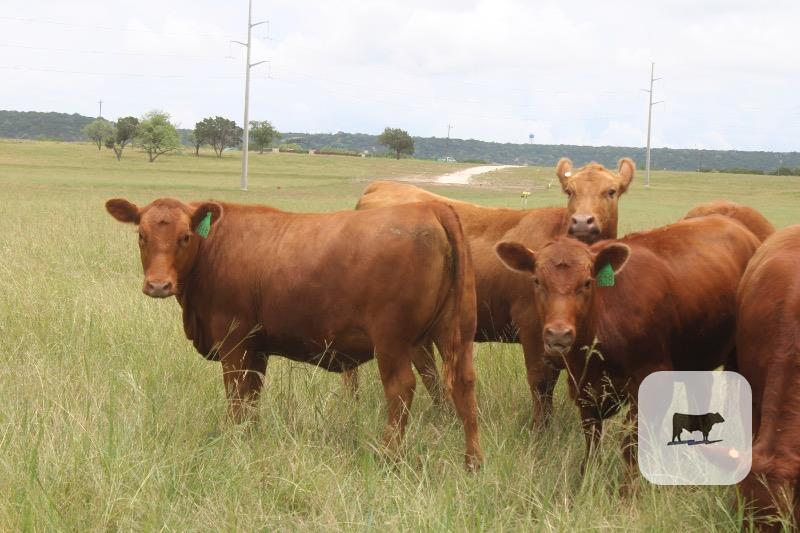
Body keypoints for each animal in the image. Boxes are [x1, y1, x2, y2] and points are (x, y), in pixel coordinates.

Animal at [105, 197, 482, 470]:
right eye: (141, 236)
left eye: (185, 237)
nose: (158, 285)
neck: (213, 249)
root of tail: (430, 207)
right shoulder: (257, 347)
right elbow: (252, 395)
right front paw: (249, 434)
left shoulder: (234, 341)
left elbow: (236, 394)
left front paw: (231, 439)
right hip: (455, 333)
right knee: (463, 385)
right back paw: (472, 462)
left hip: (393, 341)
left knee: (401, 389)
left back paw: (389, 457)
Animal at [350, 158, 635, 427]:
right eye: (569, 191)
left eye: (611, 191)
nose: (582, 222)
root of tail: (382, 186)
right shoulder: (532, 327)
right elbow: (541, 382)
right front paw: (540, 432)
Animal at [494, 214, 760, 483]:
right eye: (537, 281)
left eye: (587, 282)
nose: (558, 334)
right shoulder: (584, 388)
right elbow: (592, 441)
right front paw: (587, 480)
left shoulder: (652, 384)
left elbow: (631, 447)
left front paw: (628, 491)